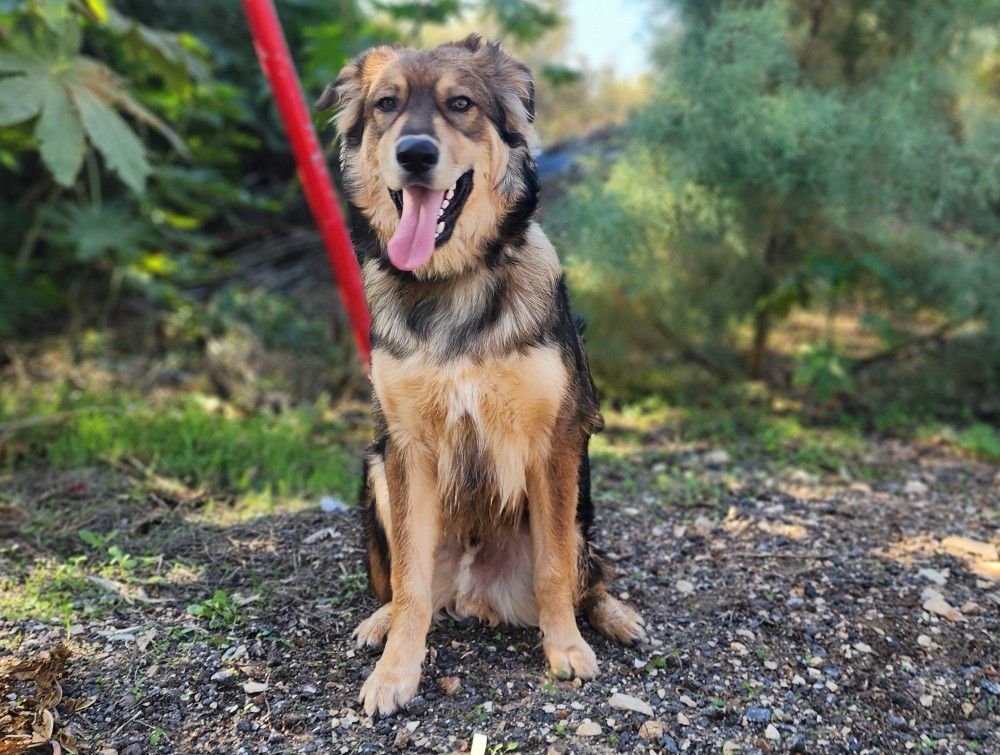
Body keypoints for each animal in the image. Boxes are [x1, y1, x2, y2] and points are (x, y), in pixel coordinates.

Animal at [317, 34, 645, 717]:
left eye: (460, 104)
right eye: (387, 105)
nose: (415, 155)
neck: (453, 285)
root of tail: (474, 596)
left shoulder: (558, 442)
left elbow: (554, 569)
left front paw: (565, 649)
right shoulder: (405, 448)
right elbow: (410, 582)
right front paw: (395, 672)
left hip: (582, 514)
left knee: (589, 576)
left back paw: (615, 616)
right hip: (374, 472)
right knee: (404, 585)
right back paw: (379, 621)